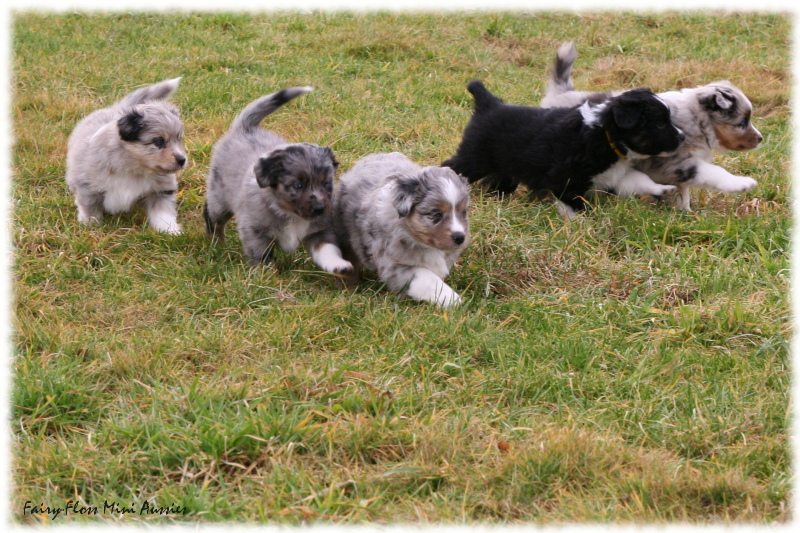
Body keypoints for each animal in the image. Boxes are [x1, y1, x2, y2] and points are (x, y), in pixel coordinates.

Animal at [65, 77, 188, 233]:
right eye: (159, 142)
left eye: (179, 140)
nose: (182, 160)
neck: (133, 167)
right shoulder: (87, 186)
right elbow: (90, 208)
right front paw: (91, 227)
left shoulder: (160, 189)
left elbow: (163, 213)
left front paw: (170, 231)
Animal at [202, 87, 352, 274]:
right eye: (298, 185)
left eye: (327, 184)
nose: (319, 209)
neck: (291, 215)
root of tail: (246, 127)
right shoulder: (255, 230)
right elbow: (261, 255)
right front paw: (264, 274)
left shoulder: (319, 231)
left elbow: (327, 250)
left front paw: (341, 266)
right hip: (220, 197)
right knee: (213, 217)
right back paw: (217, 243)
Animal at [336, 151, 472, 308]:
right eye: (437, 214)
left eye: (463, 212)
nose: (460, 237)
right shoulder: (394, 265)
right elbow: (428, 279)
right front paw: (452, 300)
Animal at [440, 77, 684, 218]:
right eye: (661, 124)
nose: (682, 137)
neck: (605, 136)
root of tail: (490, 104)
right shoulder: (565, 178)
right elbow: (574, 204)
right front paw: (582, 223)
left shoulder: (616, 174)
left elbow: (640, 181)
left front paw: (663, 190)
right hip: (475, 157)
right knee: (450, 166)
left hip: (503, 168)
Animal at [540, 42, 760, 210]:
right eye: (742, 122)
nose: (761, 138)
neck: (696, 119)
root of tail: (561, 92)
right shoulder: (677, 163)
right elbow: (714, 172)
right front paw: (742, 183)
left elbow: (683, 192)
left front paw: (685, 213)